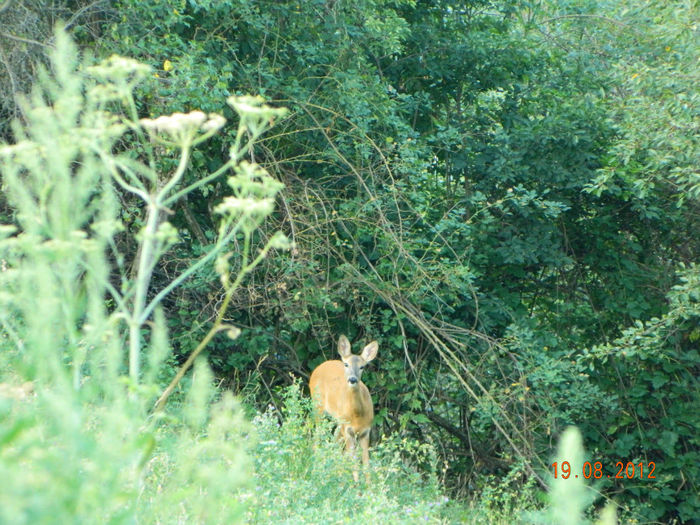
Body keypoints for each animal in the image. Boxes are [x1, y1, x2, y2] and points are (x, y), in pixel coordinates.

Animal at [310, 334, 380, 482]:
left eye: (362, 366)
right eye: (346, 364)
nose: (352, 379)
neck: (357, 415)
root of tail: (319, 367)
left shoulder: (365, 431)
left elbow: (366, 464)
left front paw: (369, 486)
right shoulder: (348, 430)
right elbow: (353, 462)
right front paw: (356, 485)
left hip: (337, 421)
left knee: (334, 442)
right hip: (318, 406)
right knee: (317, 437)